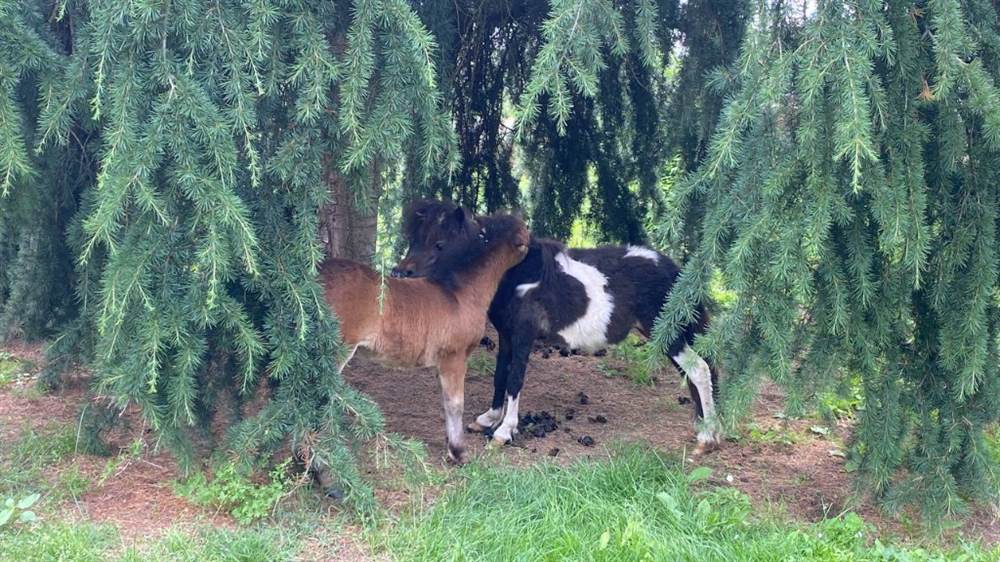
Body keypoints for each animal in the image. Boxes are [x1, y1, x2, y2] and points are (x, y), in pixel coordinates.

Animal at [321, 210, 530, 463]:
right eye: (523, 237)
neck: (458, 293)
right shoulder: (455, 356)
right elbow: (455, 404)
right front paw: (459, 452)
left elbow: (446, 402)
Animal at [391, 200, 721, 454]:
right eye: (414, 239)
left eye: (440, 243)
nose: (400, 273)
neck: (515, 273)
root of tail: (675, 270)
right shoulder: (506, 336)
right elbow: (500, 375)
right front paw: (489, 418)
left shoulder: (523, 336)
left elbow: (514, 380)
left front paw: (503, 432)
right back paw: (705, 429)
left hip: (668, 335)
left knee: (700, 370)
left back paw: (707, 439)